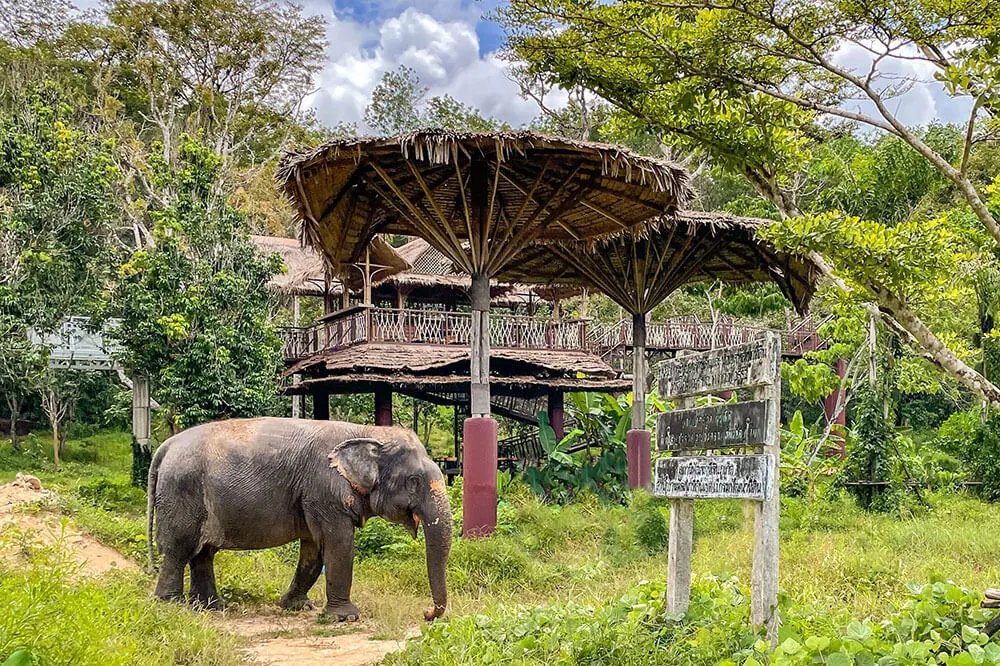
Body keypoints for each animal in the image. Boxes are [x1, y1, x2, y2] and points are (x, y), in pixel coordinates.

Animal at [144, 418, 450, 620]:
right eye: (413, 481)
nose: (426, 614)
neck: (368, 432)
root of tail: (166, 446)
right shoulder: (324, 488)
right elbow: (338, 544)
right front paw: (345, 617)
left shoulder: (310, 497)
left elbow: (314, 551)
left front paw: (297, 606)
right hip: (181, 492)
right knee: (179, 548)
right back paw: (171, 606)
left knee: (203, 553)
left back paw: (211, 607)